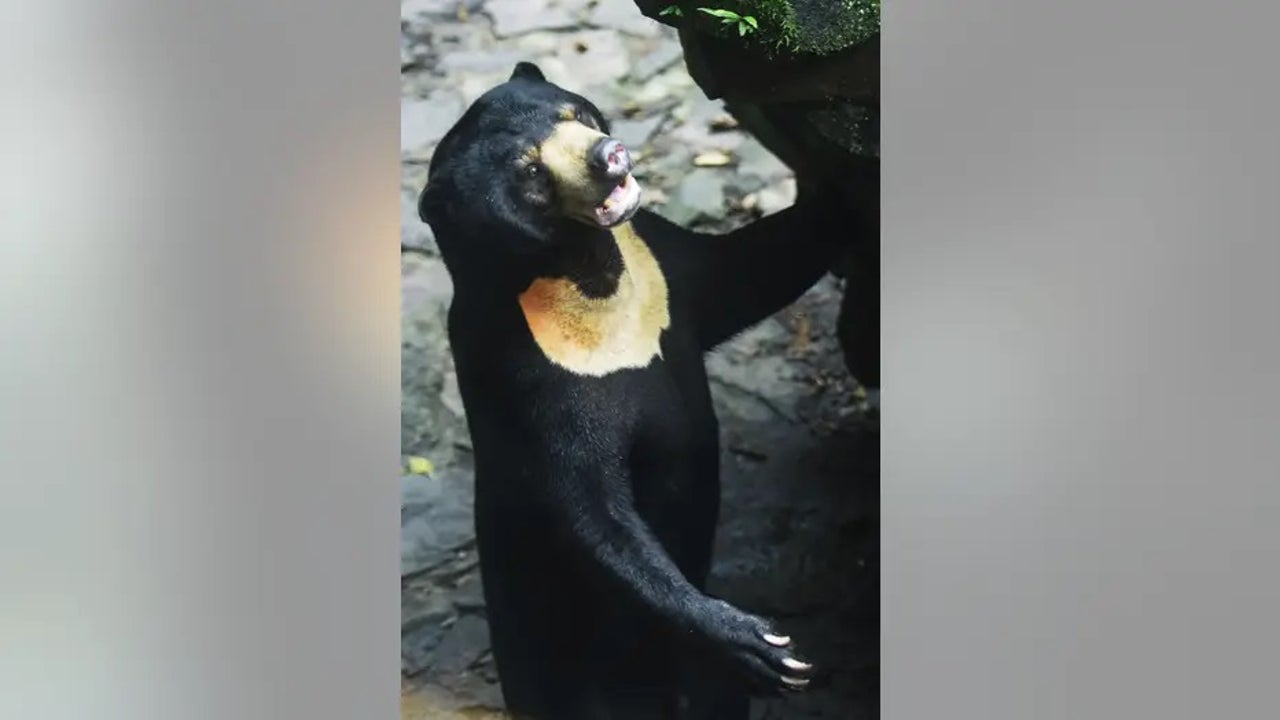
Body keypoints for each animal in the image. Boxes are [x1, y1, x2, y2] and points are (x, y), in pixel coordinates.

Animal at [419, 61, 855, 717]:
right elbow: (590, 510)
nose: (610, 155)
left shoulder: (665, 269)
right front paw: (763, 646)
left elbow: (759, 265)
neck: (589, 272)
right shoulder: (523, 376)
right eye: (530, 172)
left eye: (575, 115)